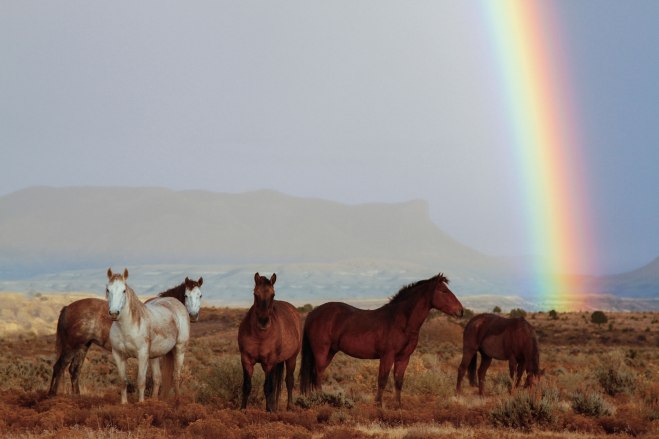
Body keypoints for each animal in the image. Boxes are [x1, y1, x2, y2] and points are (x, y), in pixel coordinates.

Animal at [48, 276, 203, 396]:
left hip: (83, 346)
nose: (193, 316)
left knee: (74, 370)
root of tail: (67, 308)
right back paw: (53, 395)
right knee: (59, 367)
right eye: (186, 295)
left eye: (200, 295)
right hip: (71, 346)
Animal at [106, 268, 191, 404]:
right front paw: (124, 403)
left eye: (124, 290)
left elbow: (141, 381)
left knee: (176, 375)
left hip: (179, 349)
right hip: (155, 356)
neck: (126, 327)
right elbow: (123, 381)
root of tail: (175, 302)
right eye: (108, 290)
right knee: (157, 378)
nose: (114, 313)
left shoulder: (142, 355)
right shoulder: (118, 355)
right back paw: (155, 400)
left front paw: (141, 403)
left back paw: (177, 401)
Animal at [238, 273, 301, 412]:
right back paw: (275, 406)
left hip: (291, 358)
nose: (263, 321)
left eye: (273, 295)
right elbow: (247, 386)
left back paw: (289, 406)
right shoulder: (246, 360)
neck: (260, 336)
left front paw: (268, 411)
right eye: (255, 294)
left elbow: (268, 387)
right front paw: (242, 409)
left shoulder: (269, 363)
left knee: (289, 381)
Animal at [300, 273, 463, 408]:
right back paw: (320, 399)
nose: (460, 311)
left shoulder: (404, 358)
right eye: (444, 291)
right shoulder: (387, 356)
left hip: (330, 352)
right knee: (317, 374)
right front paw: (378, 405)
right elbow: (382, 380)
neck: (401, 321)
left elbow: (398, 381)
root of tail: (313, 313)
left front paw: (398, 406)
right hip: (322, 351)